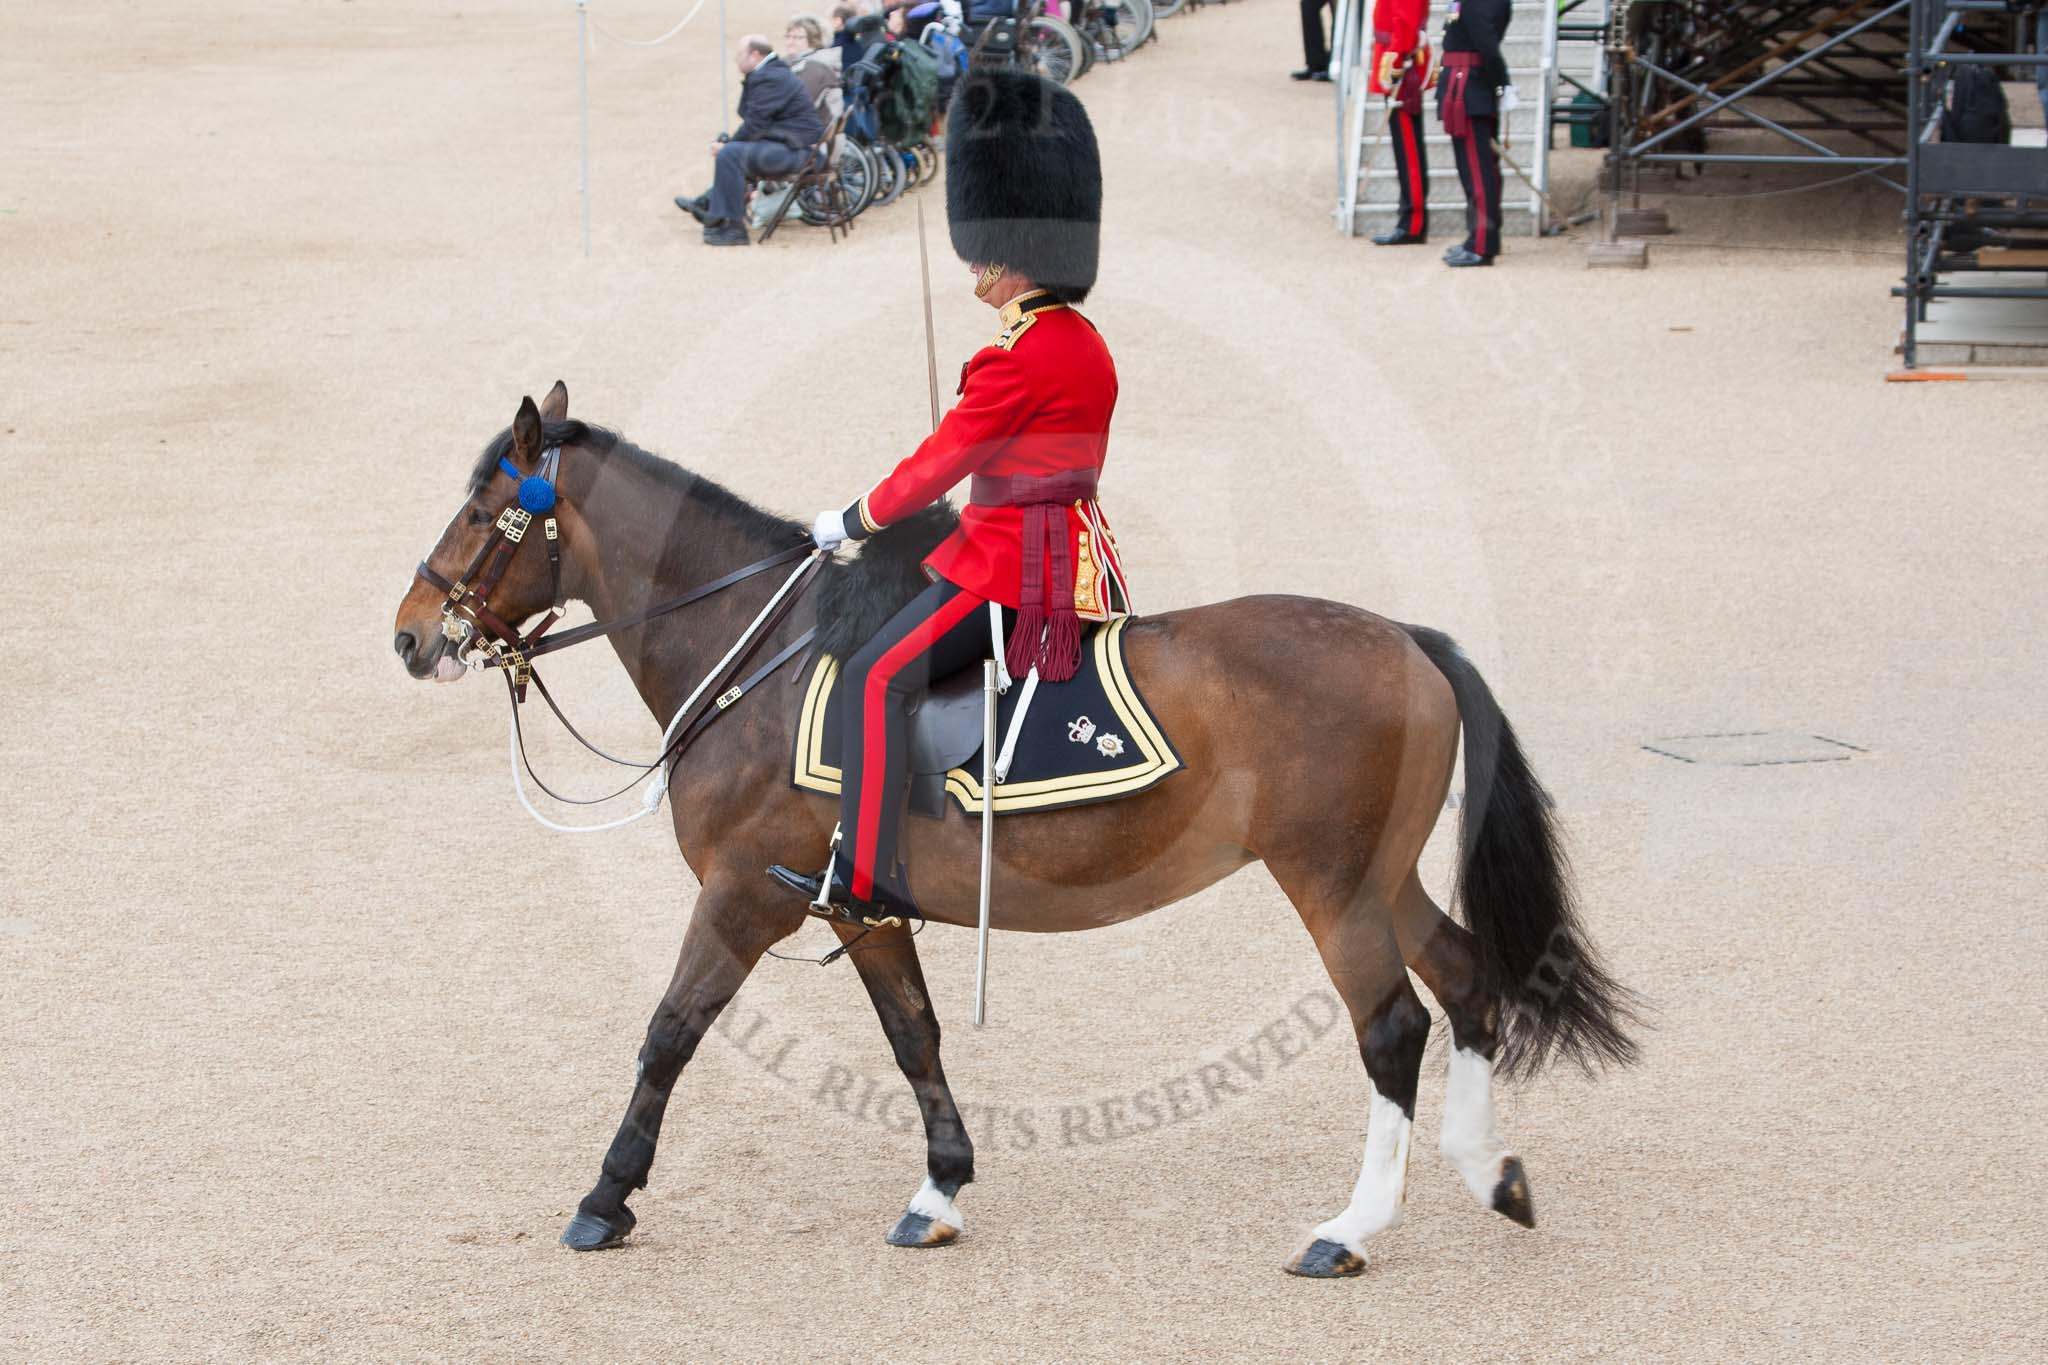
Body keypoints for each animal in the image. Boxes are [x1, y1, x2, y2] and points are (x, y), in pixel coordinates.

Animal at [387, 386, 1630, 1285]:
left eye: (481, 513)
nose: (409, 635)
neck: (758, 653)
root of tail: (1407, 639)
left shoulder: (743, 896)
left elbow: (667, 1035)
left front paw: (605, 1200)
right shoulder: (859, 906)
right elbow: (915, 1040)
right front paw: (938, 1189)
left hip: (1328, 883)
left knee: (1391, 1029)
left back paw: (1351, 1227)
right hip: (1381, 878)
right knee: (1465, 982)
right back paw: (1488, 1174)